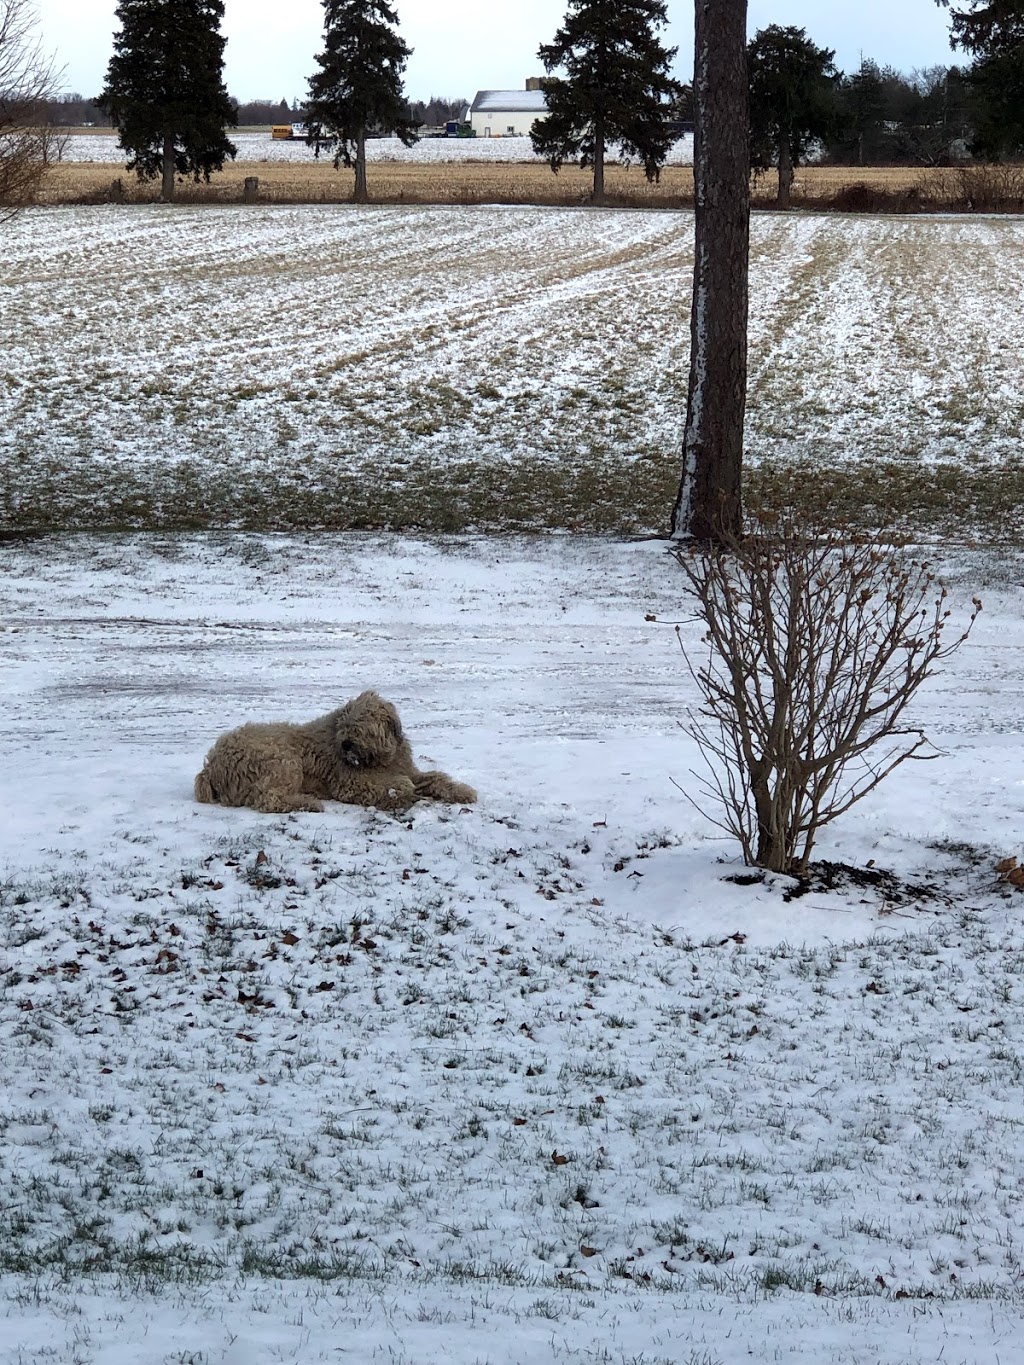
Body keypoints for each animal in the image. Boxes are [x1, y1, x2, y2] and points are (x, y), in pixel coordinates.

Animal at [195, 693, 477, 808]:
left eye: (361, 725)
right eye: (345, 725)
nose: (346, 745)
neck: (381, 760)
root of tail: (210, 766)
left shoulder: (408, 769)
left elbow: (434, 778)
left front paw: (462, 791)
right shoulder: (348, 781)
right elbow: (399, 785)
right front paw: (402, 791)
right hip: (282, 759)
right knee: (268, 799)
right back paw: (307, 803)